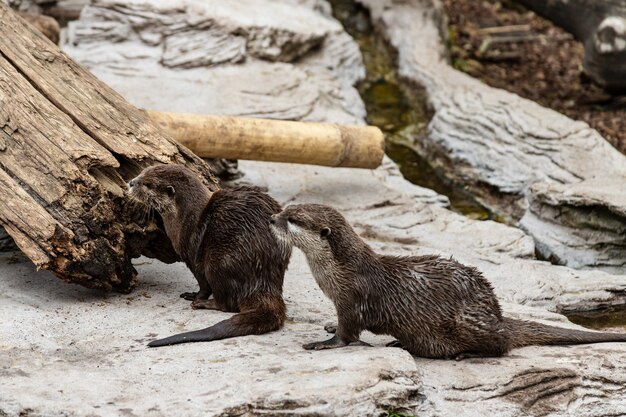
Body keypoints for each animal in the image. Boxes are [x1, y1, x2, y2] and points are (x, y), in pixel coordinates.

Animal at [130, 164, 292, 346]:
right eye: (142, 173)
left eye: (147, 184)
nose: (131, 182)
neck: (184, 218)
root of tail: (263, 281)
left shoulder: (192, 254)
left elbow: (203, 284)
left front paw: (196, 296)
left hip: (218, 263)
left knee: (227, 303)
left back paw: (203, 304)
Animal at [270, 203, 626, 360]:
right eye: (285, 208)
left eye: (293, 219)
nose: (272, 218)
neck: (337, 273)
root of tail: (498, 314)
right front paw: (328, 325)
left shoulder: (355, 298)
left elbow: (347, 334)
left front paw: (324, 342)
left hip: (468, 320)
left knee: (502, 346)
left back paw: (465, 354)